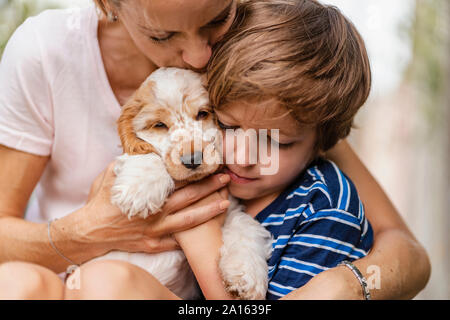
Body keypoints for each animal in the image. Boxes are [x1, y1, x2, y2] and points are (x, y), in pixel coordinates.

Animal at [93, 68, 272, 300]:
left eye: (203, 114)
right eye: (159, 125)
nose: (192, 159)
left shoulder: (228, 207)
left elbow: (245, 226)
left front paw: (247, 276)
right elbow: (145, 152)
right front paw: (139, 191)